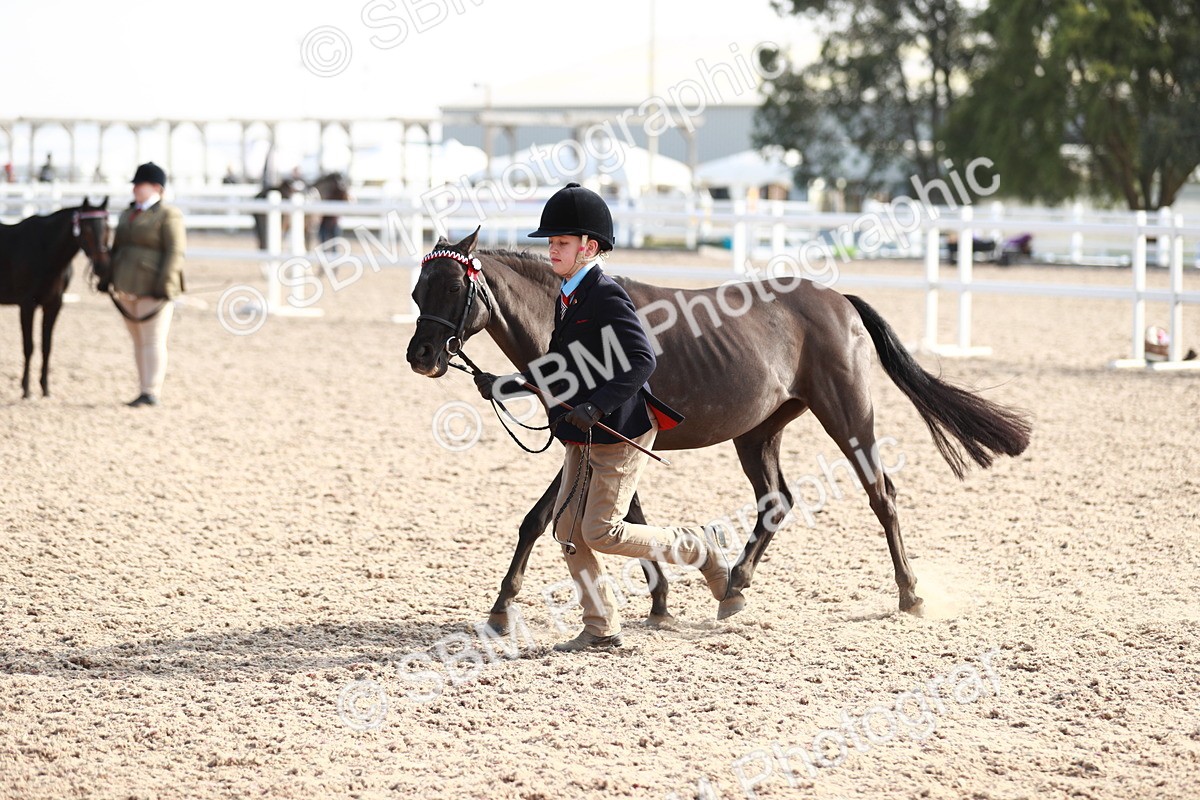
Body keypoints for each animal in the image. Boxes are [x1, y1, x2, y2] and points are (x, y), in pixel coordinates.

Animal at [0, 197, 110, 398]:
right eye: (87, 228)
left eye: (107, 226)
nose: (102, 267)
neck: (45, 250)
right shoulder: (27, 305)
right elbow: (29, 346)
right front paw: (26, 389)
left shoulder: (54, 305)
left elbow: (47, 346)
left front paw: (45, 389)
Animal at [405, 229, 1032, 631]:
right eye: (416, 291)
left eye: (453, 289)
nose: (422, 356)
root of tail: (839, 299)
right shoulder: (602, 439)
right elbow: (617, 519)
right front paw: (660, 601)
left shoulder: (598, 433)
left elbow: (551, 521)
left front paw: (502, 608)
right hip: (758, 433)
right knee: (776, 501)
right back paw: (734, 585)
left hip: (848, 414)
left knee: (881, 494)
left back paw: (910, 594)